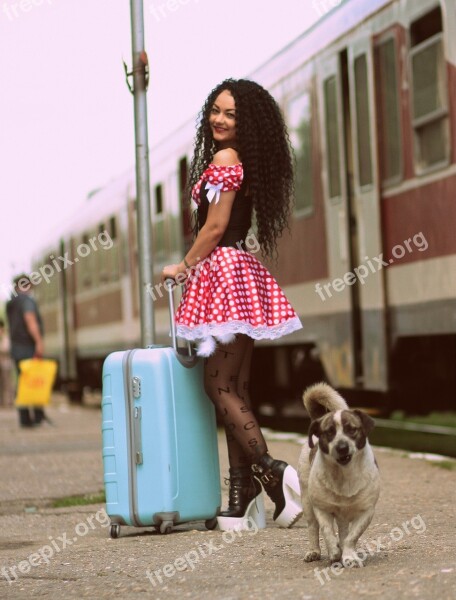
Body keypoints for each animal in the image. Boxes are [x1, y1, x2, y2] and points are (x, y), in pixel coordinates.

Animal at [298, 382, 380, 564]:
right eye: (329, 432)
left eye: (352, 429)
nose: (342, 447)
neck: (344, 475)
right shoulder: (321, 508)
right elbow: (327, 531)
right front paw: (334, 552)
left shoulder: (366, 512)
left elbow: (352, 536)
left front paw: (348, 555)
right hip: (307, 501)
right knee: (313, 527)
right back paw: (314, 551)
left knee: (343, 531)